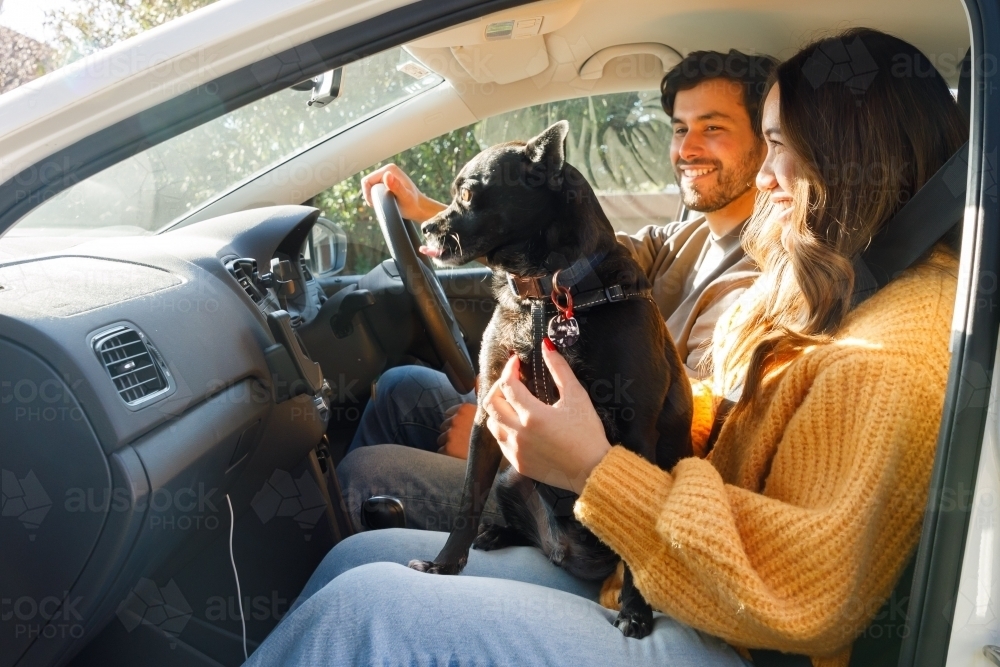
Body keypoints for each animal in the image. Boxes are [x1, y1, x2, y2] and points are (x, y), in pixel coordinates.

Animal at [406, 121, 688, 640]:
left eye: (467, 194)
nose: (426, 227)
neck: (541, 296)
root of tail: (569, 554)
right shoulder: (489, 416)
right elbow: (467, 499)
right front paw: (445, 564)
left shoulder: (636, 431)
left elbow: (635, 527)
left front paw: (635, 611)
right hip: (510, 480)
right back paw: (499, 532)